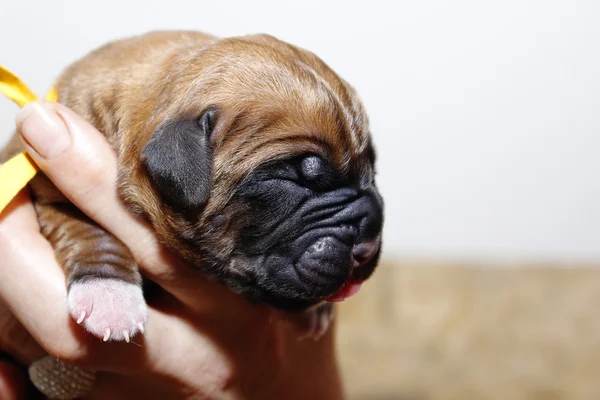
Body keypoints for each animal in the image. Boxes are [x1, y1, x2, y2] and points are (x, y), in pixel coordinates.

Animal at [0, 31, 384, 342]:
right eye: (295, 179)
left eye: (372, 170)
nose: (368, 246)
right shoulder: (48, 185)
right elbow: (89, 228)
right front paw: (109, 295)